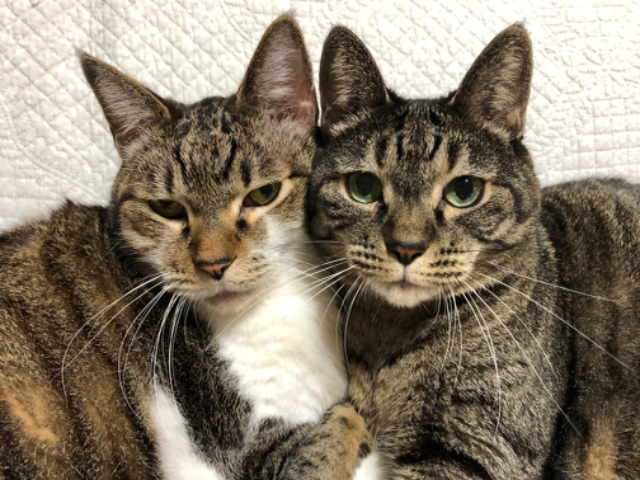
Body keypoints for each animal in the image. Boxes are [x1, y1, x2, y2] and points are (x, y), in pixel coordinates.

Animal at [307, 24, 640, 479]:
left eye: (464, 191)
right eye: (363, 187)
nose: (406, 247)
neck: (387, 341)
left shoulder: (481, 445)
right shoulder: (353, 404)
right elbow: (325, 438)